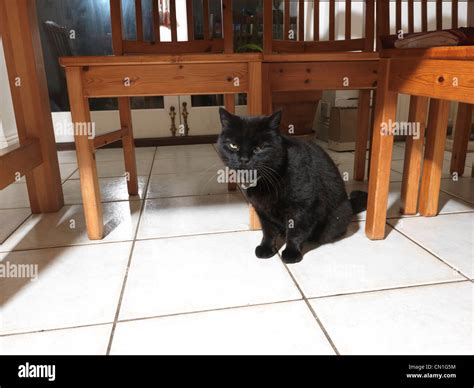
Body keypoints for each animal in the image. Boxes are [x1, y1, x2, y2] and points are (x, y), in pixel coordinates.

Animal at [217, 108, 368, 264]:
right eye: (233, 146)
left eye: (259, 148)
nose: (244, 159)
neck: (268, 181)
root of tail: (349, 204)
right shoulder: (262, 210)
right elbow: (268, 231)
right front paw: (266, 248)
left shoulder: (302, 207)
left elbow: (296, 231)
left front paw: (291, 253)